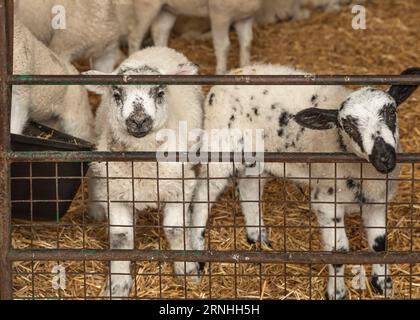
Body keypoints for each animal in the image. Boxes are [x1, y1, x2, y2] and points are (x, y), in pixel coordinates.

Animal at [83, 45, 203, 298]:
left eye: (160, 93)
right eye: (117, 95)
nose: (138, 120)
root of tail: (156, 47)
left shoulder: (181, 185)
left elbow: (176, 229)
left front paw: (186, 269)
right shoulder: (115, 192)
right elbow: (121, 237)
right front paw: (117, 285)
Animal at [130, 0, 262, 73]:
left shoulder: (245, 18)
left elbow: (247, 43)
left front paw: (246, 67)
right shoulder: (220, 16)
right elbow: (223, 46)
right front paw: (221, 71)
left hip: (168, 9)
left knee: (160, 31)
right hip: (146, 6)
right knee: (135, 35)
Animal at [190, 64, 420, 300]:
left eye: (392, 112)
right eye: (347, 127)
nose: (384, 158)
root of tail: (232, 73)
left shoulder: (377, 201)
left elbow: (379, 245)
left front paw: (383, 285)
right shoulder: (326, 203)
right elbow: (338, 251)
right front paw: (336, 292)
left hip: (257, 157)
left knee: (249, 188)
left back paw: (258, 238)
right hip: (219, 149)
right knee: (201, 198)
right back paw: (197, 261)